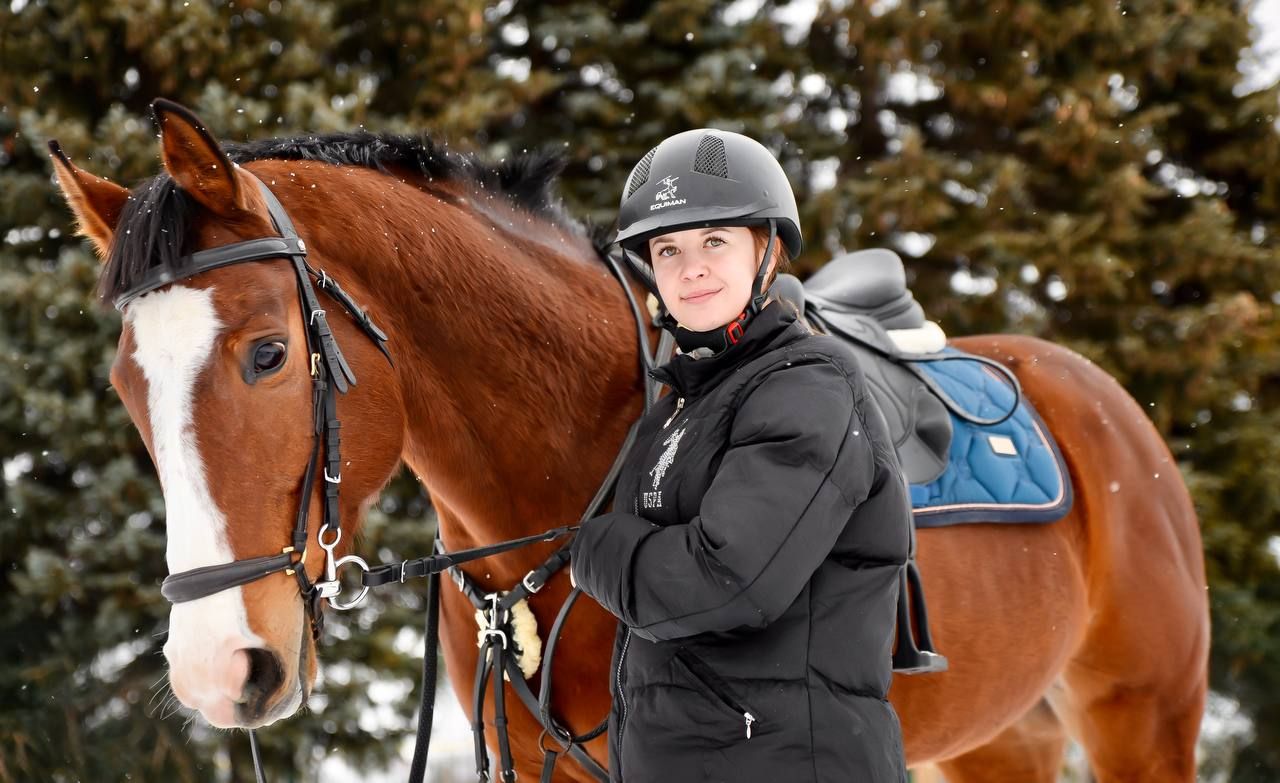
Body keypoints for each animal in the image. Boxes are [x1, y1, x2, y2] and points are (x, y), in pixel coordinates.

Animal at [52, 101, 1208, 777]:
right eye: (124, 385)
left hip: (1141, 713)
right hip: (995, 735)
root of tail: (1097, 395)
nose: (217, 669)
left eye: (266, 354)